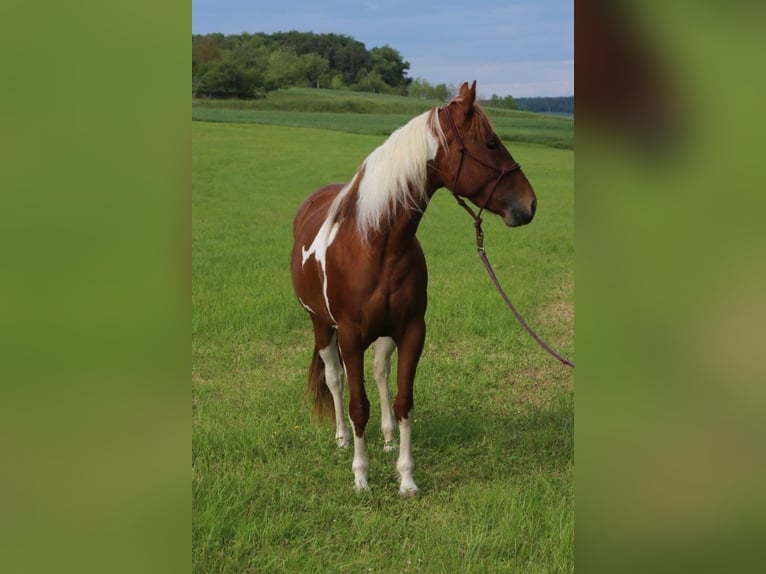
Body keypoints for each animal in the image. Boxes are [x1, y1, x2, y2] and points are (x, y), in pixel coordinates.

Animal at [290, 81, 537, 495]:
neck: (375, 244)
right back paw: (341, 439)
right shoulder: (350, 336)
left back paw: (388, 439)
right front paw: (361, 476)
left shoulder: (411, 331)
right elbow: (357, 405)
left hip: (384, 334)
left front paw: (406, 477)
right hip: (322, 326)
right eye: (490, 143)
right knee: (334, 379)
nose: (530, 204)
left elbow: (404, 401)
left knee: (380, 373)